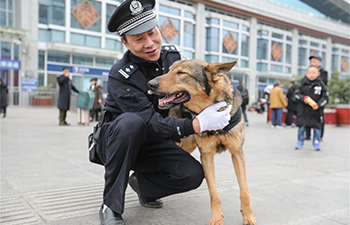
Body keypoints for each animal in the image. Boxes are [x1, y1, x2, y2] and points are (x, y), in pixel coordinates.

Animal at [148, 59, 258, 225]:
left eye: (181, 73)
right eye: (169, 70)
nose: (150, 84)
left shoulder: (237, 153)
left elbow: (244, 190)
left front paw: (248, 216)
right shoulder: (206, 155)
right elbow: (213, 193)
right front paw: (217, 218)